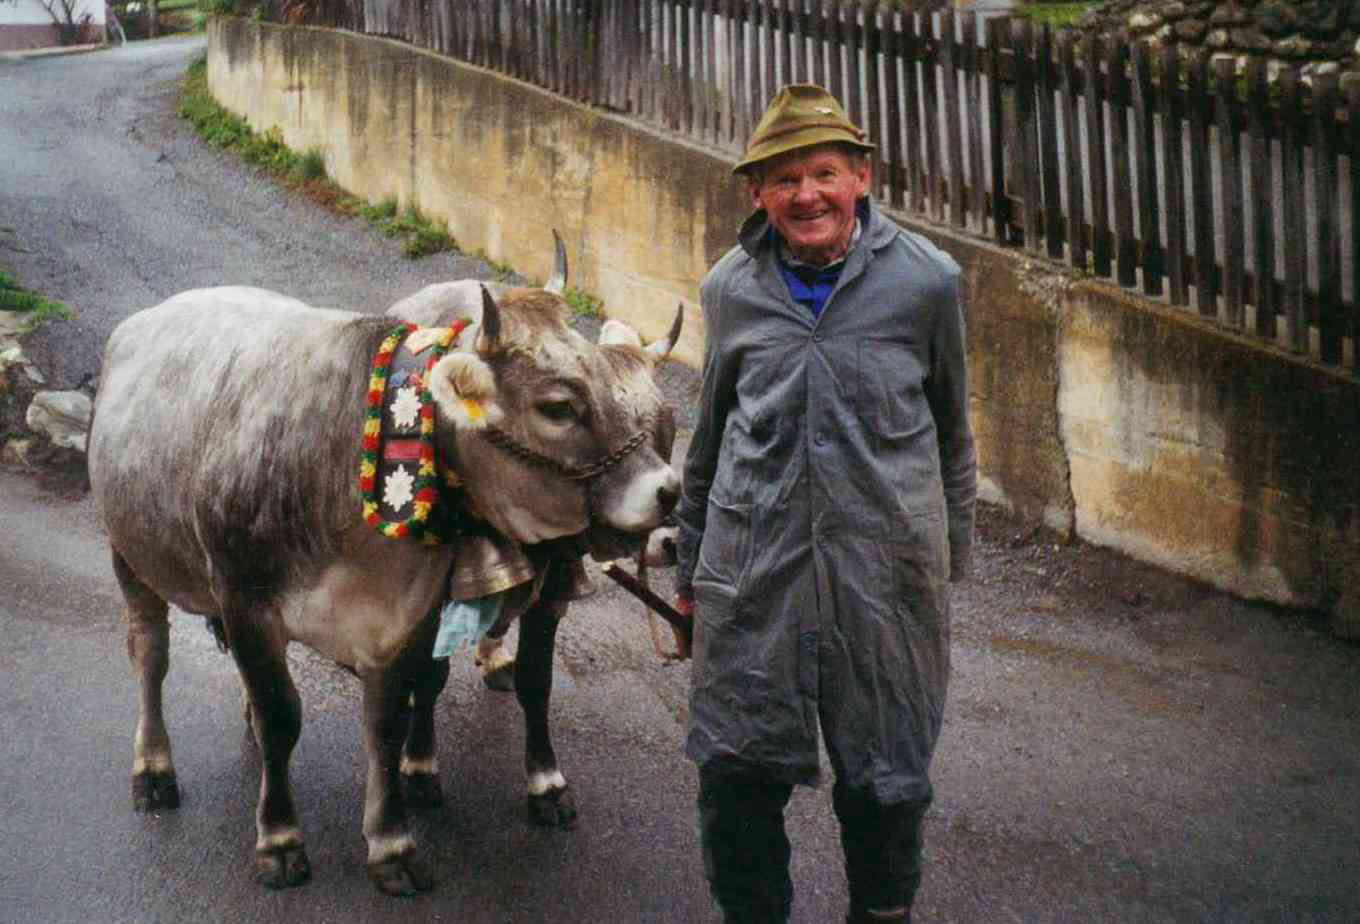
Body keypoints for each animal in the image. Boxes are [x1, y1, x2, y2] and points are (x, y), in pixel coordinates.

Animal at [85, 247, 680, 898]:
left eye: (665, 422)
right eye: (558, 406)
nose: (668, 493)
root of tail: (146, 319)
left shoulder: (406, 617)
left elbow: (392, 723)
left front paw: (392, 842)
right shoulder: (245, 599)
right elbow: (282, 718)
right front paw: (280, 840)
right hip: (129, 554)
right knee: (150, 654)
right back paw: (153, 769)